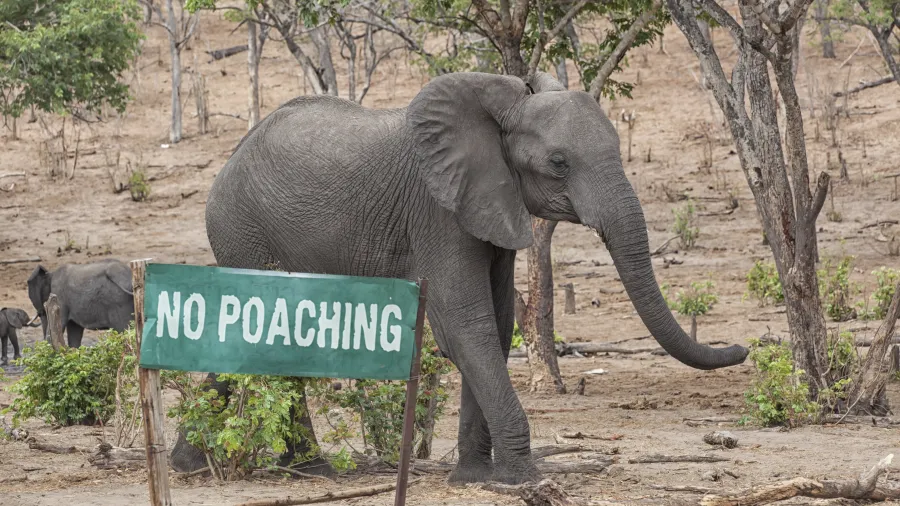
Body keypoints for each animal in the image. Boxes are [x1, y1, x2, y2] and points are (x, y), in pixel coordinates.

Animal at [188, 71, 749, 485]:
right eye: (559, 163)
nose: (743, 349)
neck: (499, 111)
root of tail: (230, 158)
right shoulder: (436, 210)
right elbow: (466, 325)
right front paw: (525, 479)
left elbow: (496, 326)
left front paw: (476, 477)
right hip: (243, 229)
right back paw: (305, 471)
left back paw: (232, 466)